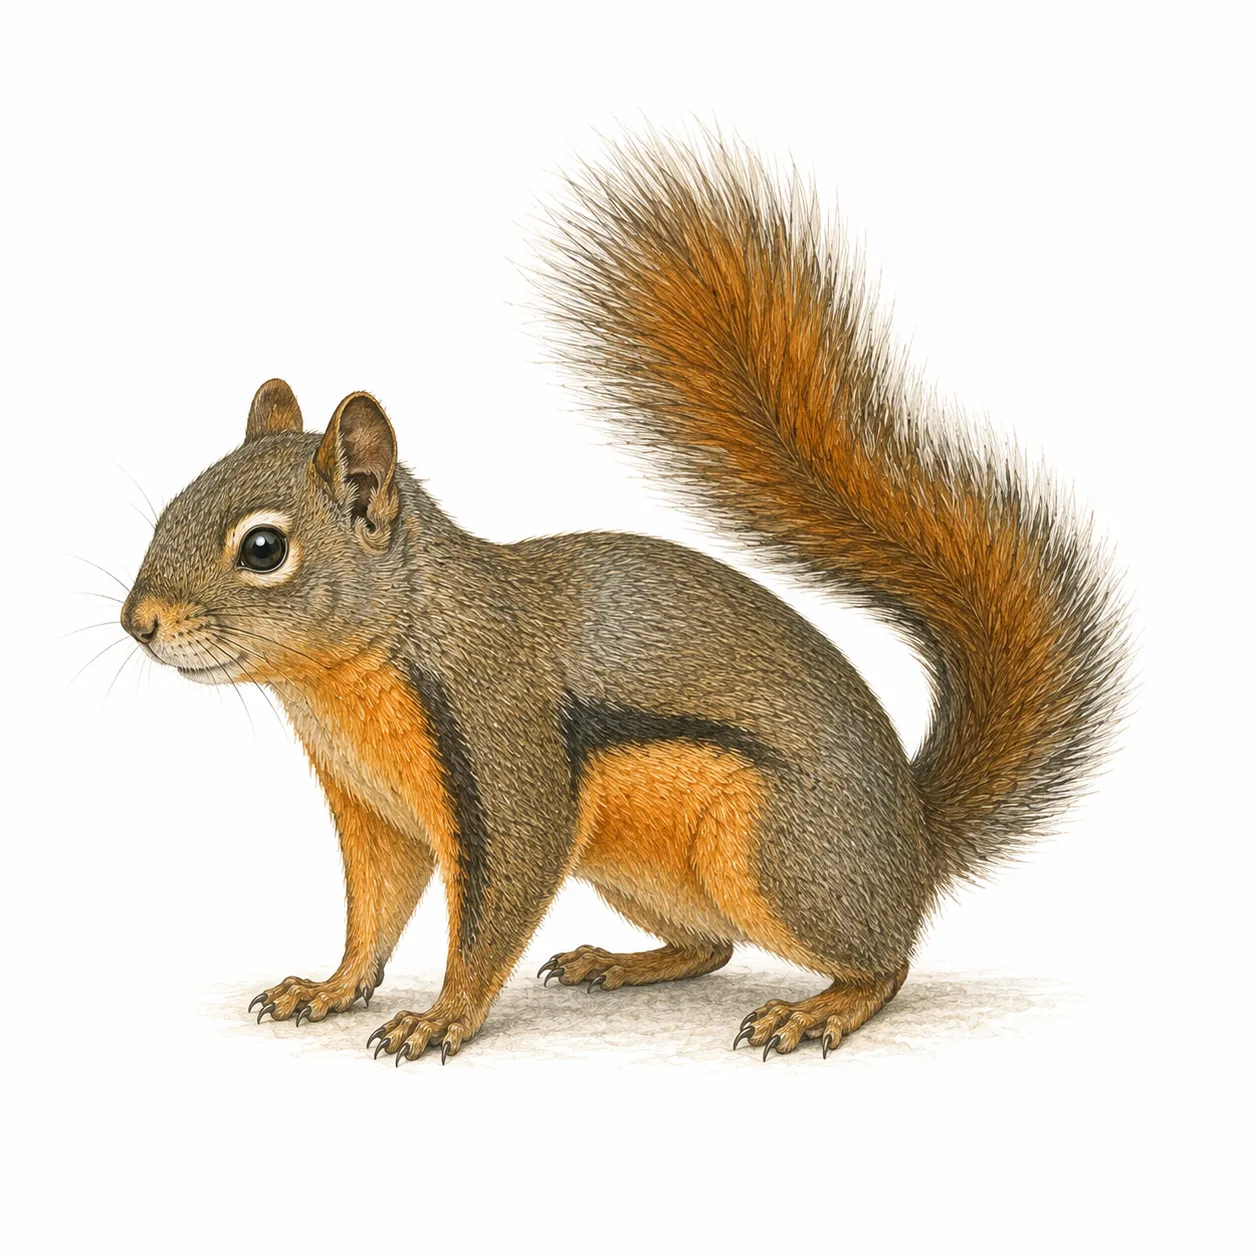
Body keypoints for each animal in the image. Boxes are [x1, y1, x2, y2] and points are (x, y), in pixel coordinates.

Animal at [120, 134, 1127, 1062]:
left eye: (263, 549)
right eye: (170, 508)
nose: (138, 624)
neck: (342, 683)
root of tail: (913, 842)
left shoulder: (504, 749)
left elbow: (493, 905)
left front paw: (443, 1018)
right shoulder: (372, 812)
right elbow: (373, 911)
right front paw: (328, 988)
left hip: (773, 854)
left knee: (884, 961)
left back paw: (819, 1009)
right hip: (641, 868)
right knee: (713, 947)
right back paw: (618, 962)